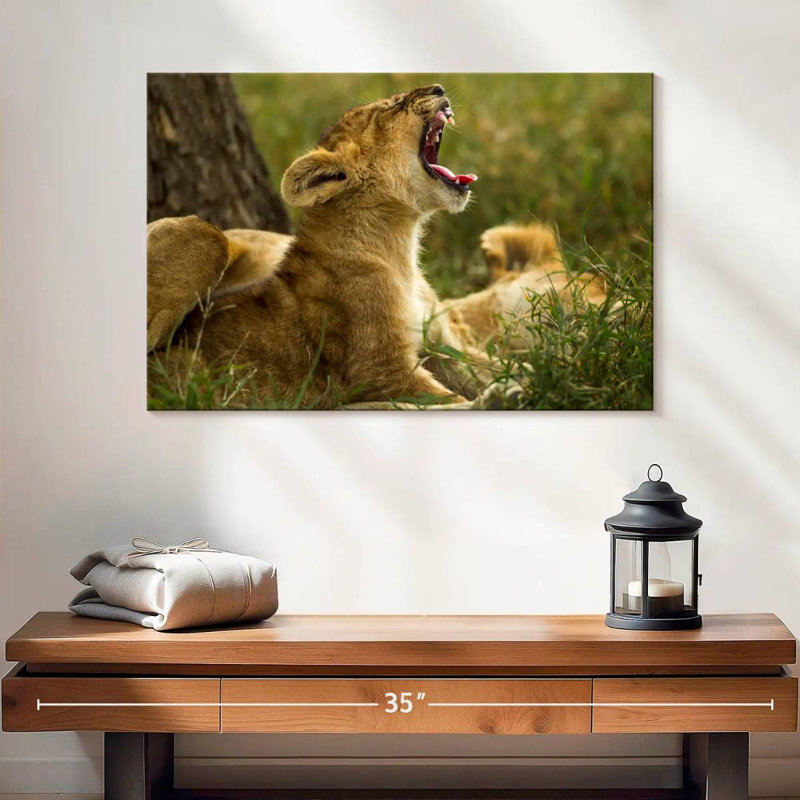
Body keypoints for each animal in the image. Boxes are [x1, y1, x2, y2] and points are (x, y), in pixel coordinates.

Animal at [147, 84, 607, 407]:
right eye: (393, 107)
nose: (439, 86)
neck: (400, 247)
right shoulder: (381, 370)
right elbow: (447, 401)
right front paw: (513, 395)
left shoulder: (441, 345)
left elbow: (503, 367)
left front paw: (565, 373)